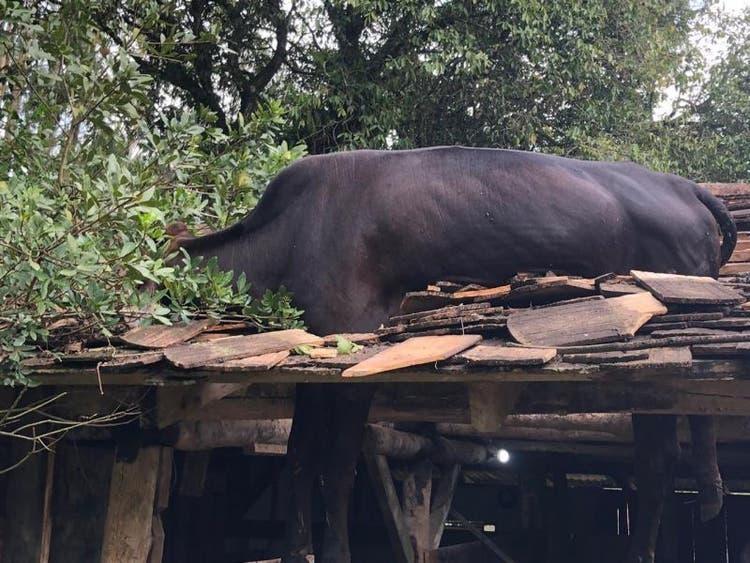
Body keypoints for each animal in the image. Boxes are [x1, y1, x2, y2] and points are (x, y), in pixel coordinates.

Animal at [167, 146, 735, 563]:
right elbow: (301, 457)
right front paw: (295, 550)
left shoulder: (354, 346)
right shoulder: (316, 363)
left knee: (665, 454)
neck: (286, 239)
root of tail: (685, 186)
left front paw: (334, 552)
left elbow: (338, 463)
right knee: (665, 454)